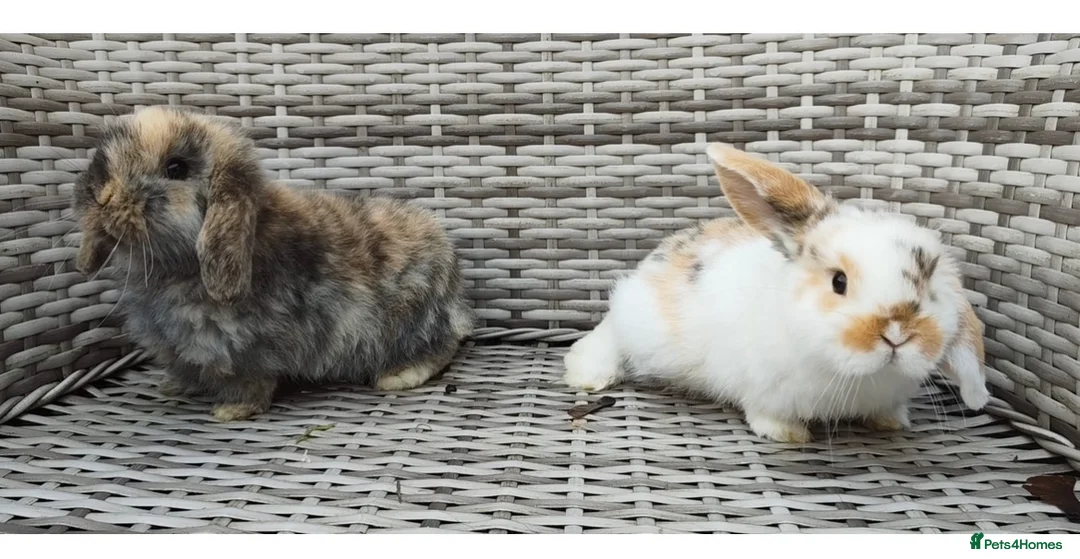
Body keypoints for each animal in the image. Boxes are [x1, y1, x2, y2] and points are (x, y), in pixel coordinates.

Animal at [72, 106, 474, 422]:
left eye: (176, 168)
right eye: (104, 160)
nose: (102, 196)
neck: (173, 267)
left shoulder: (247, 349)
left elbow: (252, 383)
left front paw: (231, 411)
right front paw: (173, 387)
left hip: (411, 321)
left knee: (442, 347)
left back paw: (397, 377)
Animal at [562, 143, 991, 443]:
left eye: (929, 282)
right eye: (838, 281)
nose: (897, 332)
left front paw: (890, 423)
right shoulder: (764, 388)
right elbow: (767, 414)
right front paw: (787, 435)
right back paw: (587, 374)